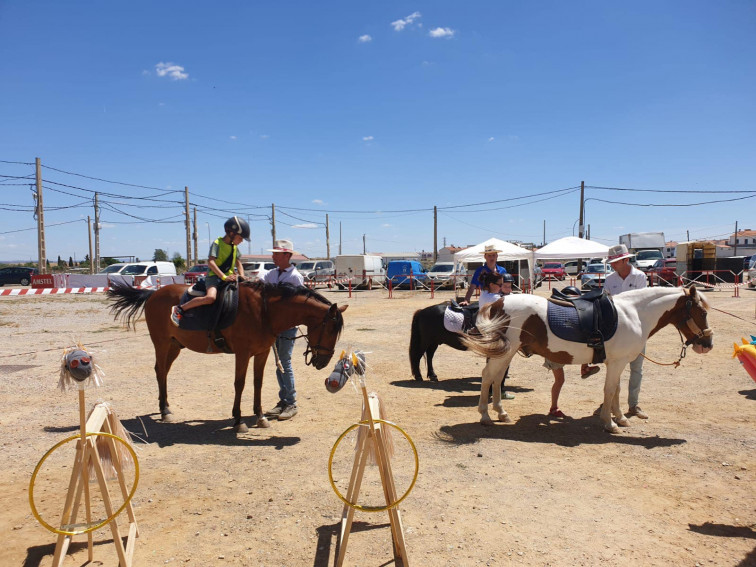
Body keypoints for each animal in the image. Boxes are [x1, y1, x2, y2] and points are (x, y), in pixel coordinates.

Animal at [107, 282, 348, 432]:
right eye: (330, 329)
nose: (323, 361)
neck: (265, 312)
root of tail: (153, 294)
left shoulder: (261, 353)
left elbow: (258, 383)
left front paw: (260, 417)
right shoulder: (242, 354)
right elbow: (239, 384)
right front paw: (238, 420)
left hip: (175, 345)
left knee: (163, 371)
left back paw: (165, 407)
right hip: (162, 343)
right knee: (159, 371)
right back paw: (164, 410)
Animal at [458, 288, 712, 434]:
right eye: (702, 312)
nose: (707, 345)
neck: (633, 314)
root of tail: (497, 303)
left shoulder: (616, 363)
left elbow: (617, 390)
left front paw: (621, 418)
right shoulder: (617, 363)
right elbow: (610, 391)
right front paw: (609, 423)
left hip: (506, 352)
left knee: (496, 377)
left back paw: (501, 413)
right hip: (506, 351)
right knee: (488, 377)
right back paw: (485, 416)